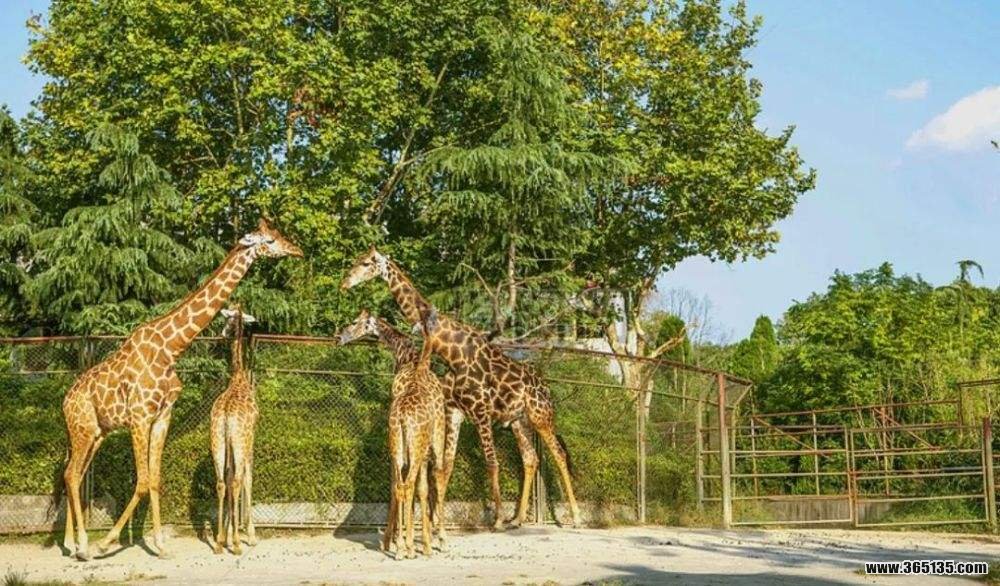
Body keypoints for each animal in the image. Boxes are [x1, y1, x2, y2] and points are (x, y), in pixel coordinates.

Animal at [59, 218, 302, 561]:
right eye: (269, 240)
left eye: (280, 235)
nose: (297, 250)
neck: (171, 348)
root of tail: (66, 401)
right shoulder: (139, 416)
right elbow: (142, 481)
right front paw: (105, 542)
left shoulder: (162, 416)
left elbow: (154, 480)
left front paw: (160, 546)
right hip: (82, 430)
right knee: (71, 474)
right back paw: (83, 545)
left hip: (94, 433)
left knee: (74, 474)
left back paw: (71, 543)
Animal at [335, 309, 446, 559]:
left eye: (355, 322)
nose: (339, 337)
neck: (409, 359)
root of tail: (404, 417)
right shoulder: (429, 441)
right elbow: (423, 487)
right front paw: (415, 541)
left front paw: (398, 540)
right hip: (418, 446)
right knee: (419, 482)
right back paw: (416, 545)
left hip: (403, 447)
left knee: (402, 486)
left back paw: (405, 545)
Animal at [341, 247, 582, 529]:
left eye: (366, 263)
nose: (344, 282)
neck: (452, 353)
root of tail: (545, 387)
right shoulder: (456, 412)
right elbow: (446, 466)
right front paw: (437, 521)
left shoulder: (480, 411)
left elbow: (491, 463)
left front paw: (496, 519)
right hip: (518, 420)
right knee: (531, 458)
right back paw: (519, 518)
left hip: (540, 416)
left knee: (558, 454)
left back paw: (575, 517)